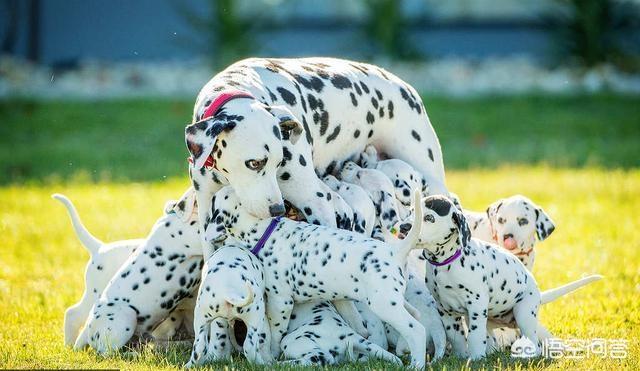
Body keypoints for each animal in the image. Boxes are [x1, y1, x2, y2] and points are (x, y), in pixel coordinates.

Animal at [182, 57, 448, 253]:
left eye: (279, 163)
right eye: (254, 163)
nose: (277, 210)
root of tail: (402, 84)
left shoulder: (317, 201)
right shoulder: (206, 208)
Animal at [208, 186, 430, 370]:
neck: (265, 231)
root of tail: (395, 251)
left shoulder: (281, 302)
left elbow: (275, 334)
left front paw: (272, 356)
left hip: (384, 305)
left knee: (417, 329)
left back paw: (416, 364)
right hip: (393, 300)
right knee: (416, 315)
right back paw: (402, 350)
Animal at [402, 195, 544, 360]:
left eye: (429, 217)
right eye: (411, 211)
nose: (403, 227)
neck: (448, 262)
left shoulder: (476, 306)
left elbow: (475, 336)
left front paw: (476, 358)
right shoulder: (446, 311)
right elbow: (456, 338)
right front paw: (461, 357)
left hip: (524, 314)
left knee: (534, 343)